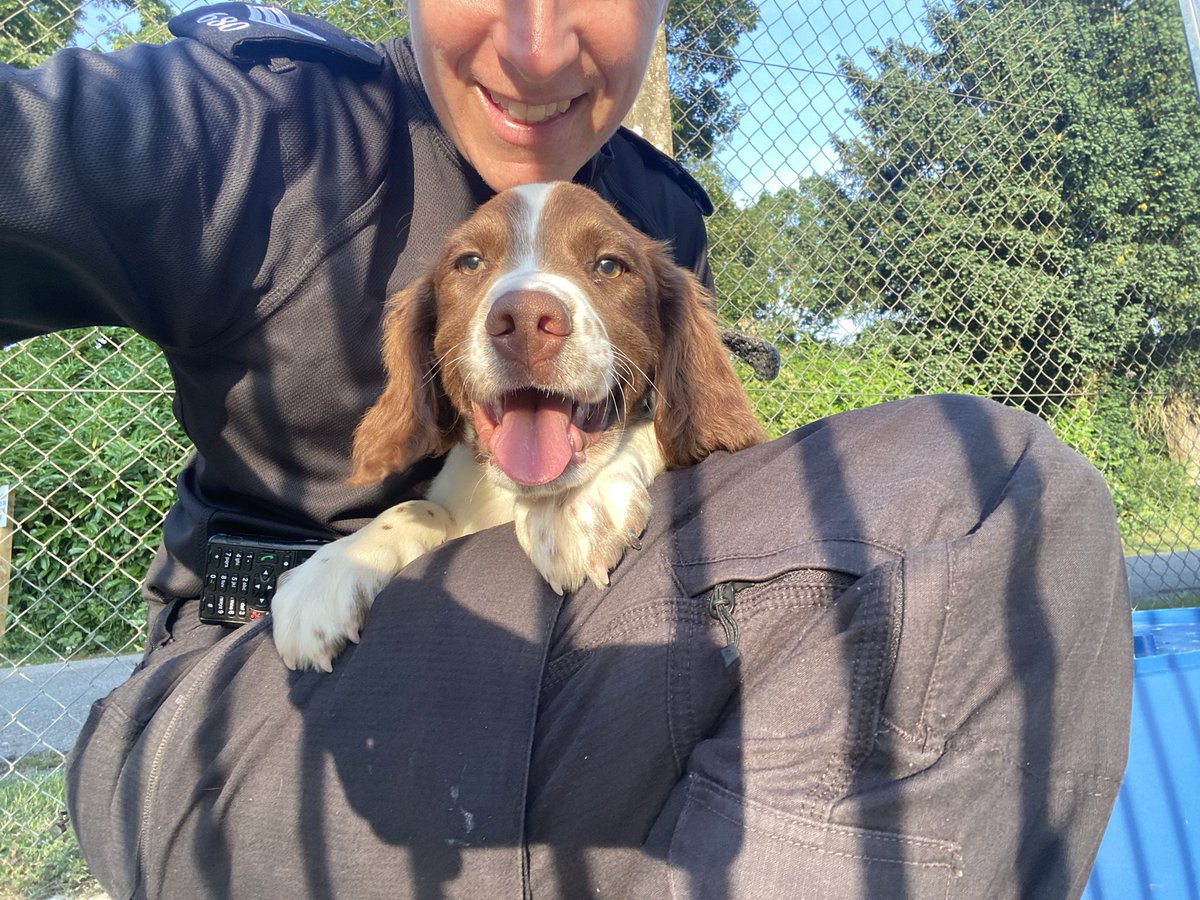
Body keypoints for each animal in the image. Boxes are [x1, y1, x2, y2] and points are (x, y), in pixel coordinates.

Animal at [271, 183, 758, 672]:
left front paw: (571, 503)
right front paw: (333, 569)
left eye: (609, 265)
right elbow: (418, 507)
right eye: (470, 262)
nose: (524, 321)